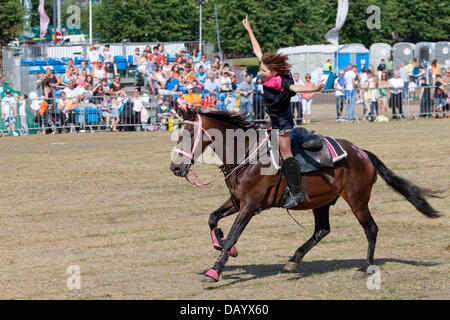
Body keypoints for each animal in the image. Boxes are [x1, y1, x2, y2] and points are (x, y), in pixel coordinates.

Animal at [169, 107, 440, 282]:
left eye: (190, 134)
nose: (175, 168)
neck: (246, 153)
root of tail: (361, 152)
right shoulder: (236, 201)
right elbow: (212, 218)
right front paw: (222, 245)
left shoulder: (249, 205)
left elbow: (234, 234)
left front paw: (215, 269)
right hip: (321, 201)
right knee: (322, 230)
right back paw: (295, 258)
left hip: (357, 201)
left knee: (371, 229)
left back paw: (364, 268)